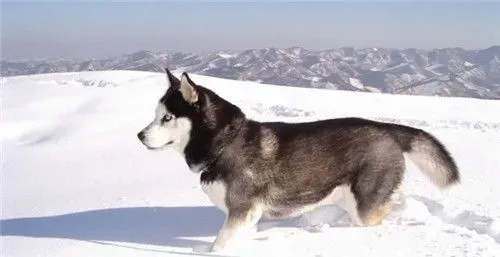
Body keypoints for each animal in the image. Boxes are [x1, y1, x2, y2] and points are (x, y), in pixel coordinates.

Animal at [136, 67, 458, 250]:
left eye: (167, 118)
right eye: (155, 115)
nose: (139, 135)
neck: (224, 145)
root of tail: (386, 128)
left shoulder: (242, 211)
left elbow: (219, 245)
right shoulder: (249, 217)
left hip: (365, 204)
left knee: (382, 210)